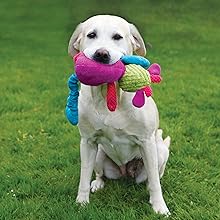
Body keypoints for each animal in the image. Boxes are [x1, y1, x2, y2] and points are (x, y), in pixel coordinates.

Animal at [68, 14, 171, 216]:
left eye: (117, 37)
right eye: (91, 35)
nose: (101, 54)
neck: (108, 94)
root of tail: (125, 172)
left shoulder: (146, 142)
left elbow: (155, 182)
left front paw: (159, 207)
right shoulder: (87, 142)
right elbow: (84, 176)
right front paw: (81, 203)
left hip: (159, 151)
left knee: (154, 176)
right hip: (99, 154)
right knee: (99, 173)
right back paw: (97, 184)